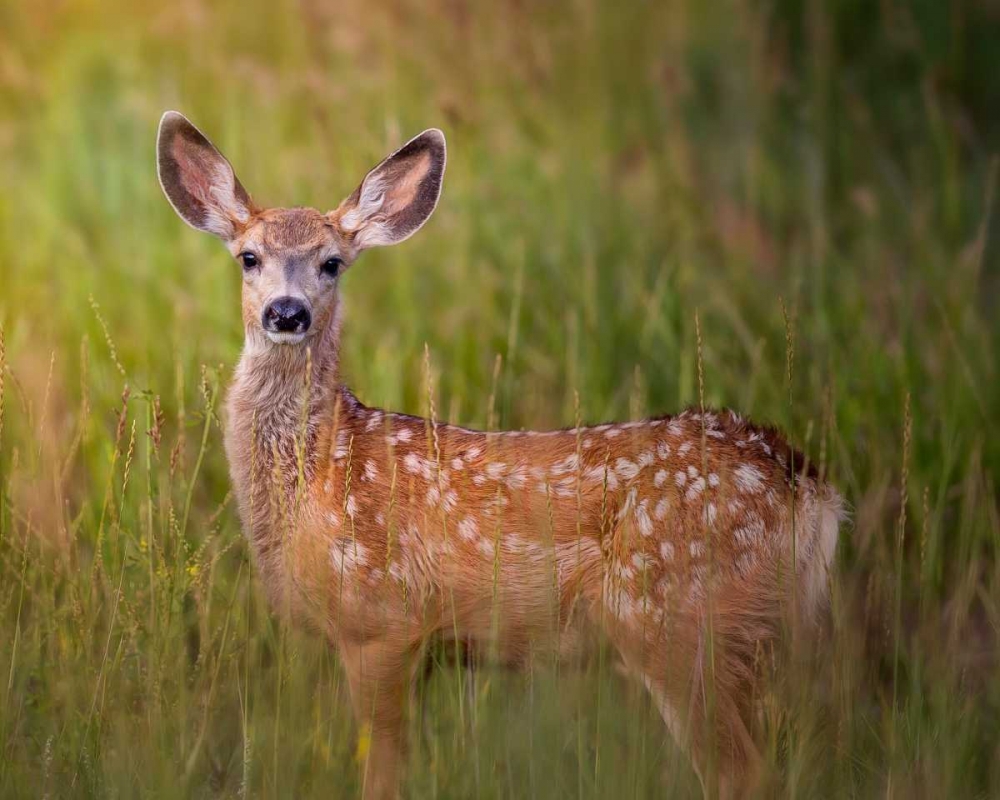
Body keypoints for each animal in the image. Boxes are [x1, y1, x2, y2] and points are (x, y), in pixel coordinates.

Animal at [156, 110, 843, 799]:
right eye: (249, 257)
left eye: (332, 263)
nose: (287, 312)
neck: (319, 470)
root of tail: (808, 488)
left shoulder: (380, 623)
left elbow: (384, 774)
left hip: (674, 617)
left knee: (744, 771)